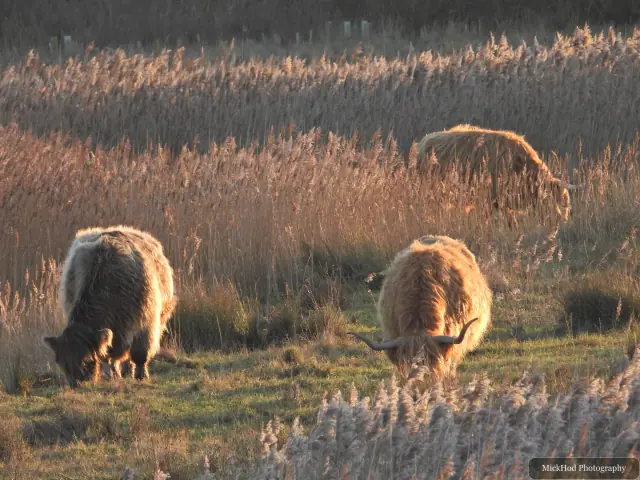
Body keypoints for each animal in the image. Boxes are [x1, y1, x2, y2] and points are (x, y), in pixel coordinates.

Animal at [44, 225, 177, 387]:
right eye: (62, 364)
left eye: (87, 360)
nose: (77, 385)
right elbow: (111, 356)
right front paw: (116, 375)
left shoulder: (146, 322)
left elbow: (140, 354)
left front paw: (141, 376)